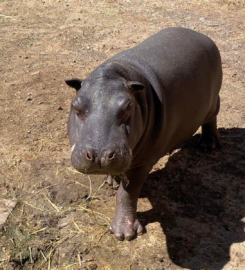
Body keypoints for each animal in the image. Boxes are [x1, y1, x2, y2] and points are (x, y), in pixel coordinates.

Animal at [65, 27, 222, 242]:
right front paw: (112, 182)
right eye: (75, 106)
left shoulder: (143, 162)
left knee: (211, 119)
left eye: (128, 107)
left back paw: (207, 145)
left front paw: (124, 234)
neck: (117, 74)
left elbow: (127, 194)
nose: (99, 155)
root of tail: (202, 36)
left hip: (213, 102)